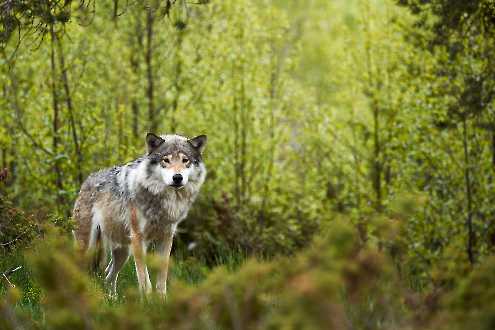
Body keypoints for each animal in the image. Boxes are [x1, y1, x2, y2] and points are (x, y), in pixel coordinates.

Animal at [72, 133, 207, 296]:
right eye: (166, 160)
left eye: (185, 160)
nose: (177, 177)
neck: (161, 201)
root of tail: (87, 181)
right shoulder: (138, 239)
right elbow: (144, 280)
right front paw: (147, 301)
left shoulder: (166, 238)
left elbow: (161, 280)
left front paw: (161, 300)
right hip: (88, 247)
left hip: (123, 252)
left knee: (108, 275)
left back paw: (113, 299)